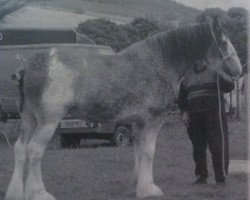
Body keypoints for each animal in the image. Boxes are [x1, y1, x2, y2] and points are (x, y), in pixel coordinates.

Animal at [5, 17, 240, 200]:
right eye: (224, 42)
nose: (238, 70)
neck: (161, 61)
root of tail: (28, 66)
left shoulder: (137, 122)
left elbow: (138, 151)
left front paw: (138, 185)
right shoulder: (153, 120)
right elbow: (149, 151)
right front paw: (149, 189)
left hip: (29, 120)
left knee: (20, 149)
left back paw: (17, 192)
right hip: (49, 121)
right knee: (34, 151)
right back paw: (39, 193)